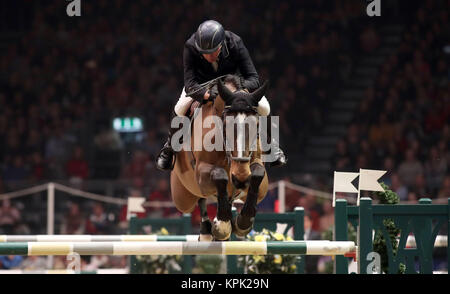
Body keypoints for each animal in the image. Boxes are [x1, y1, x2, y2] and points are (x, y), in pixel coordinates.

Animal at [169, 74, 268, 240]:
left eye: (256, 126)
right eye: (226, 126)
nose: (240, 178)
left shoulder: (256, 167)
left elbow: (257, 174)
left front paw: (243, 221)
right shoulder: (201, 172)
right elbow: (219, 174)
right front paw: (222, 224)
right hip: (182, 198)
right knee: (200, 200)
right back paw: (206, 231)